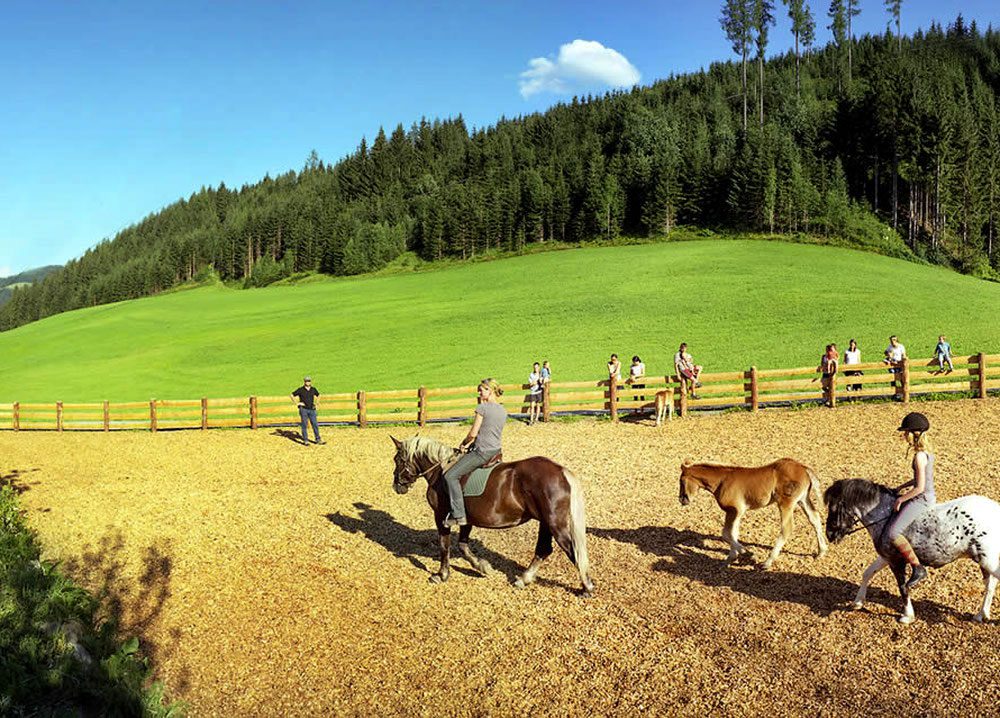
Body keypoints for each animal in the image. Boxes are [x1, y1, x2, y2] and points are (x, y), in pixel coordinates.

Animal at [390, 438, 592, 596]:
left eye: (397, 459)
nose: (396, 486)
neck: (440, 471)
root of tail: (561, 471)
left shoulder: (440, 516)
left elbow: (444, 546)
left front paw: (441, 575)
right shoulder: (466, 519)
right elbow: (463, 546)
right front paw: (483, 567)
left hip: (555, 524)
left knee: (572, 550)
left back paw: (587, 587)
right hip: (546, 523)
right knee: (544, 550)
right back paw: (524, 579)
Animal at [680, 462, 828, 572]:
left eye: (681, 481)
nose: (682, 500)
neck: (722, 481)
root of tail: (803, 468)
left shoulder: (733, 511)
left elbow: (726, 534)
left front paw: (747, 554)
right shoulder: (737, 513)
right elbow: (733, 533)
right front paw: (731, 557)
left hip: (786, 503)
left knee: (787, 528)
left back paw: (767, 562)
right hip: (802, 499)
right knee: (815, 519)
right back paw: (821, 551)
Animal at [824, 480, 1000, 628]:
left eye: (833, 509)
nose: (829, 535)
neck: (885, 516)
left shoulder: (896, 562)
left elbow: (903, 587)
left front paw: (907, 616)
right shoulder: (887, 557)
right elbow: (868, 573)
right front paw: (858, 602)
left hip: (987, 560)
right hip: (983, 560)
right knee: (990, 584)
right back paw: (981, 615)